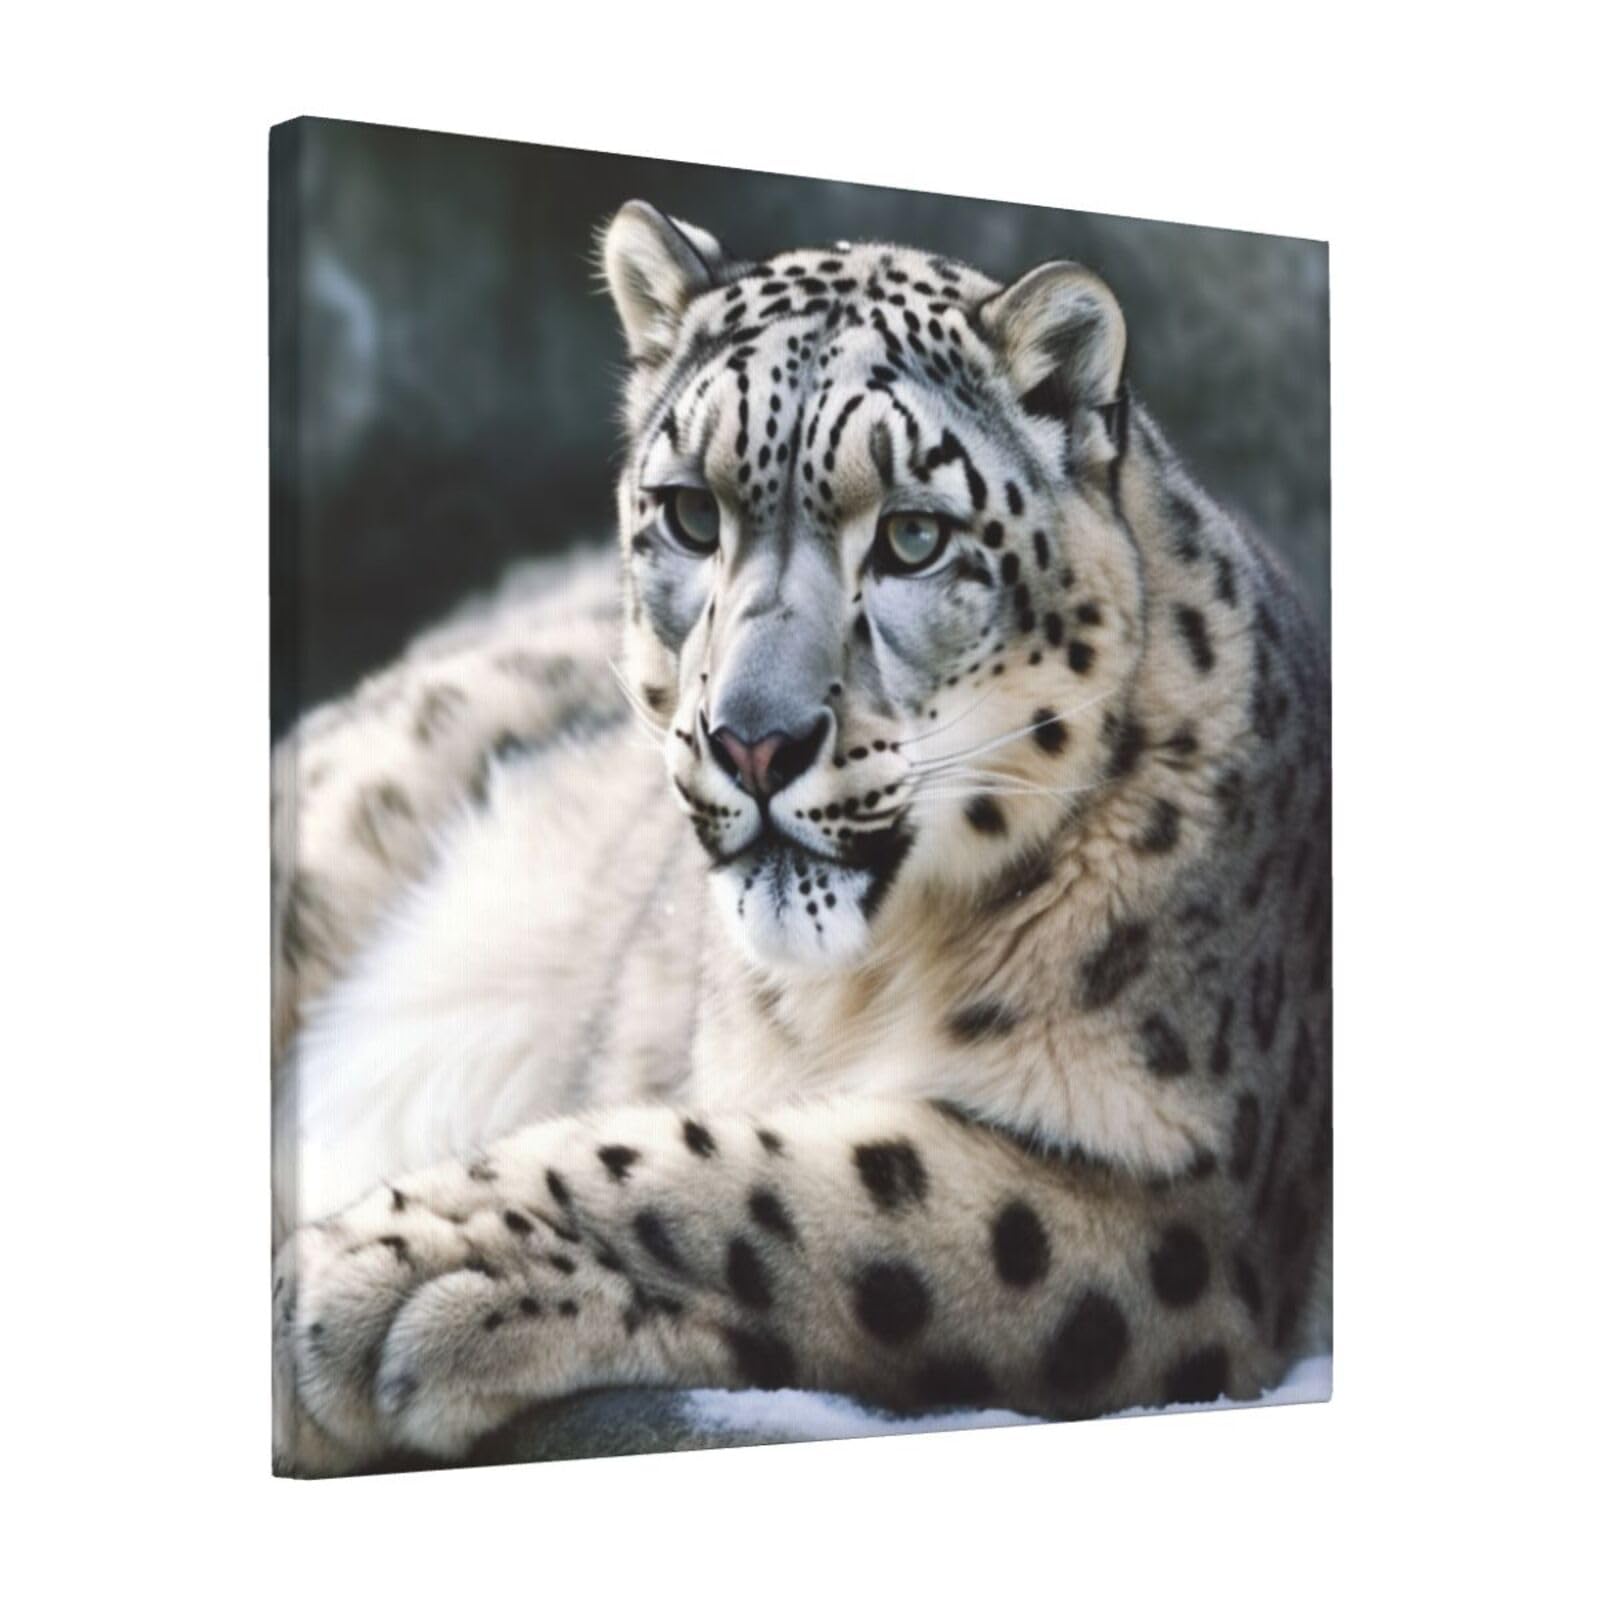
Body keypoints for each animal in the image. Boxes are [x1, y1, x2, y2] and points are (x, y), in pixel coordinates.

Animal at [271, 200, 1331, 1474]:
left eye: (914, 536)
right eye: (689, 512)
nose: (754, 742)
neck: (866, 986)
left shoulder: (1185, 1202)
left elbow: (779, 1187)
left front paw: (373, 1280)